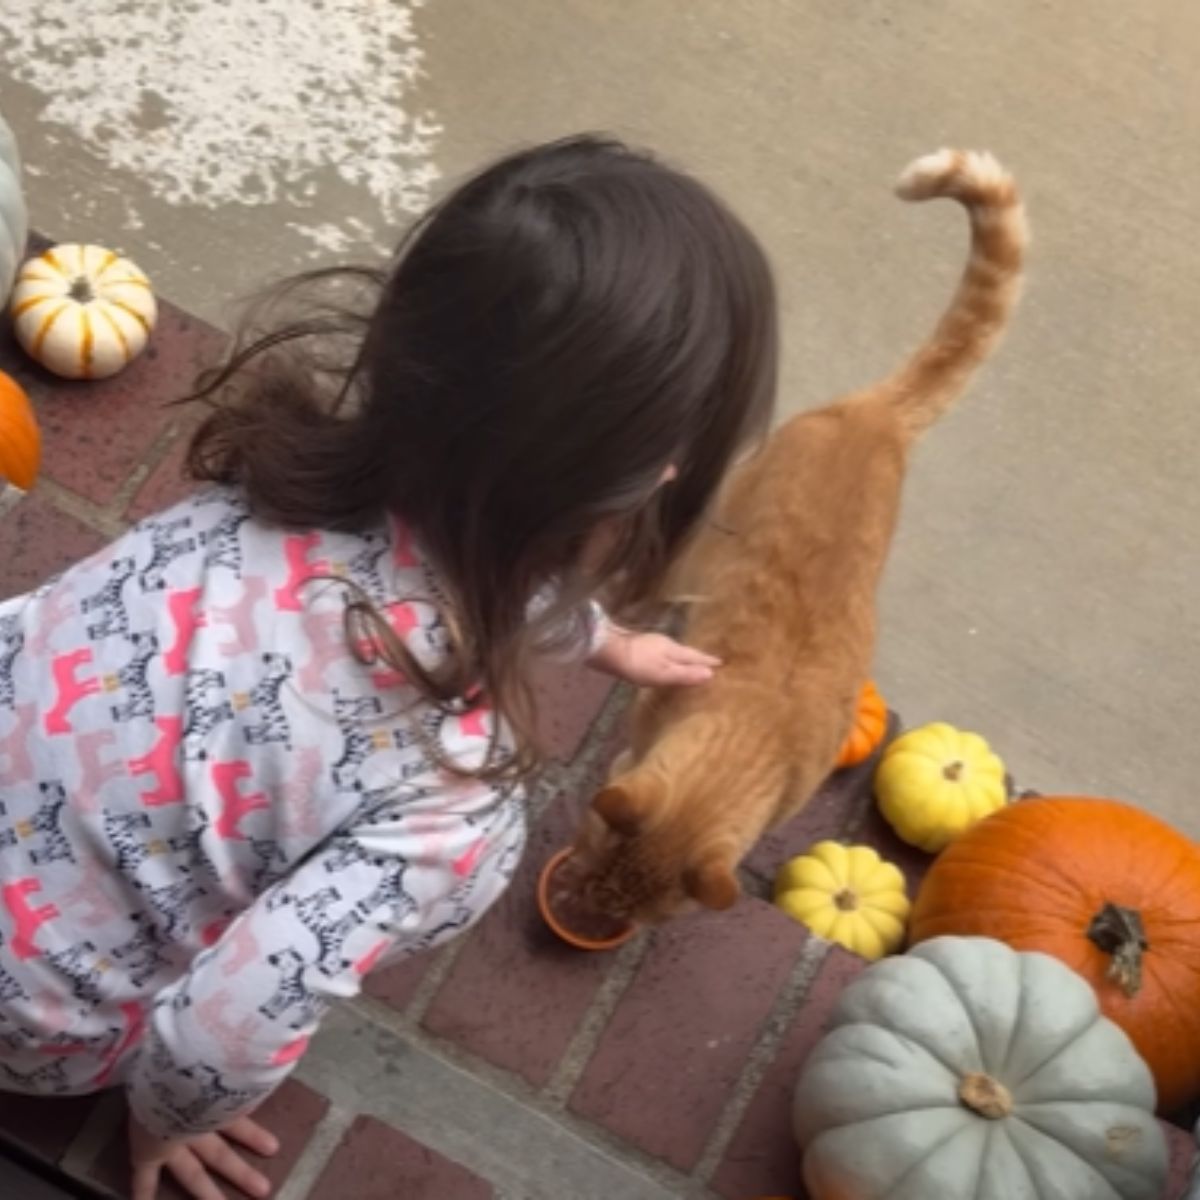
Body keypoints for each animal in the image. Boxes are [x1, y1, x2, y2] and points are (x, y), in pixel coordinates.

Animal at [571, 147, 1032, 916]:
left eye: (627, 917)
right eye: (584, 867)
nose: (579, 912)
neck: (756, 724)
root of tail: (881, 415)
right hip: (719, 515)